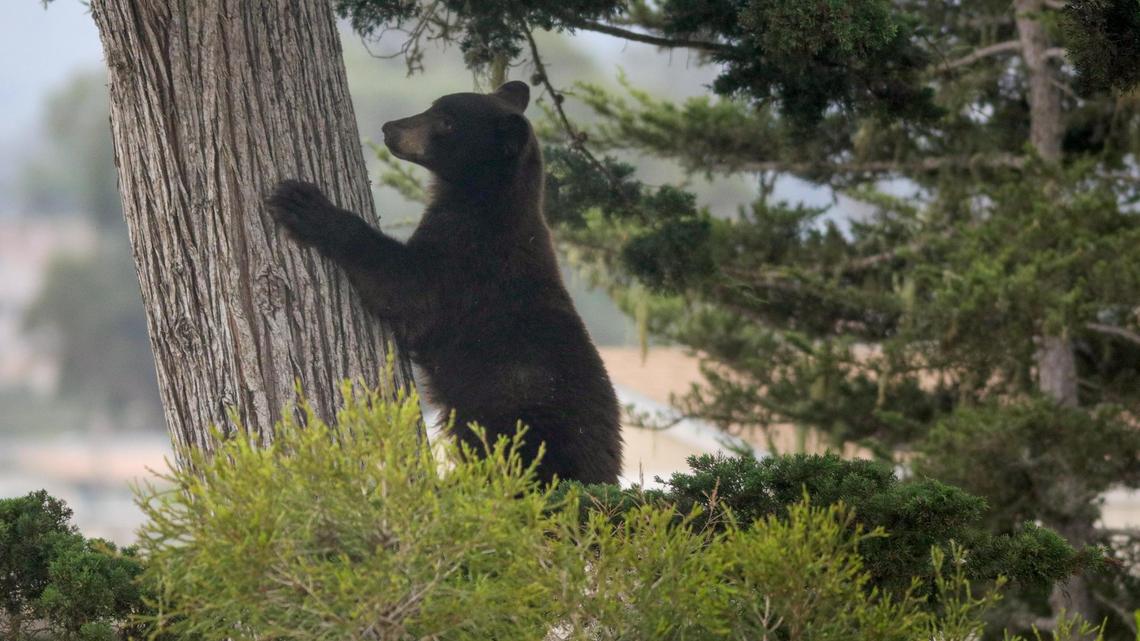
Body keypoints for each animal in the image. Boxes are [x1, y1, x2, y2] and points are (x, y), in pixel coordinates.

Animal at [266, 81, 623, 485]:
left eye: (447, 121)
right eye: (433, 107)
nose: (391, 128)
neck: (483, 203)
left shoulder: (466, 266)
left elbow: (403, 287)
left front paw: (303, 203)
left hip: (524, 432)